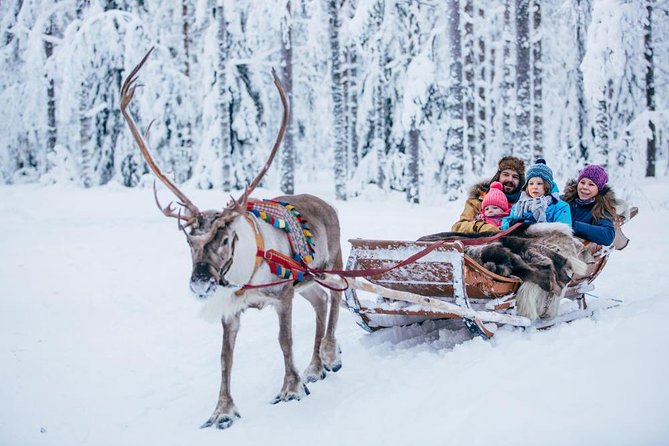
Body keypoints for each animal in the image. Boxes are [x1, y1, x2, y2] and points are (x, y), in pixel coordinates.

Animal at [120, 49, 343, 430]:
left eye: (225, 238)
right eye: (189, 241)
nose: (199, 283)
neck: (246, 275)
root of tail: (327, 203)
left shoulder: (283, 295)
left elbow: (284, 341)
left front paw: (291, 388)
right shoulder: (230, 309)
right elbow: (225, 357)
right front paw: (222, 410)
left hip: (332, 263)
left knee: (338, 297)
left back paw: (329, 354)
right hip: (308, 281)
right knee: (320, 302)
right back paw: (315, 366)